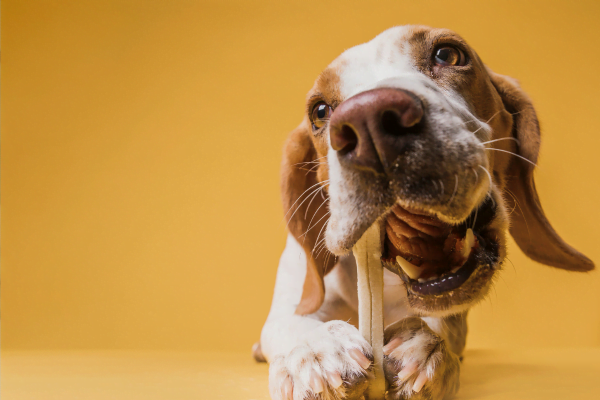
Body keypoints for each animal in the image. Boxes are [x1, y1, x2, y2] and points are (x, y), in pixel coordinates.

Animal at [254, 25, 596, 400]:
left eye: (447, 55)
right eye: (319, 111)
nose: (369, 118)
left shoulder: (455, 318)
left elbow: (443, 327)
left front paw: (427, 350)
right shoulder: (293, 299)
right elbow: (291, 322)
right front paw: (316, 351)